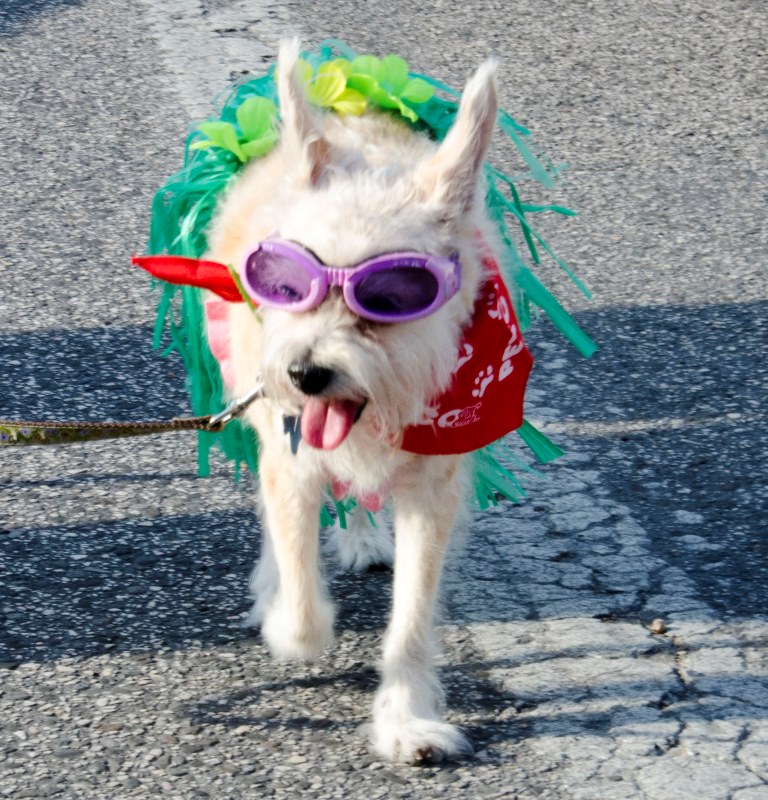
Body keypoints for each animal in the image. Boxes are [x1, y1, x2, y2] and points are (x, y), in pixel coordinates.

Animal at [204, 40, 500, 763]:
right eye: (286, 282)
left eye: (390, 298)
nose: (305, 373)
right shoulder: (289, 453)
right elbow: (305, 607)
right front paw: (281, 613)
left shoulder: (433, 487)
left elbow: (413, 616)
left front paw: (405, 719)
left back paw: (363, 534)